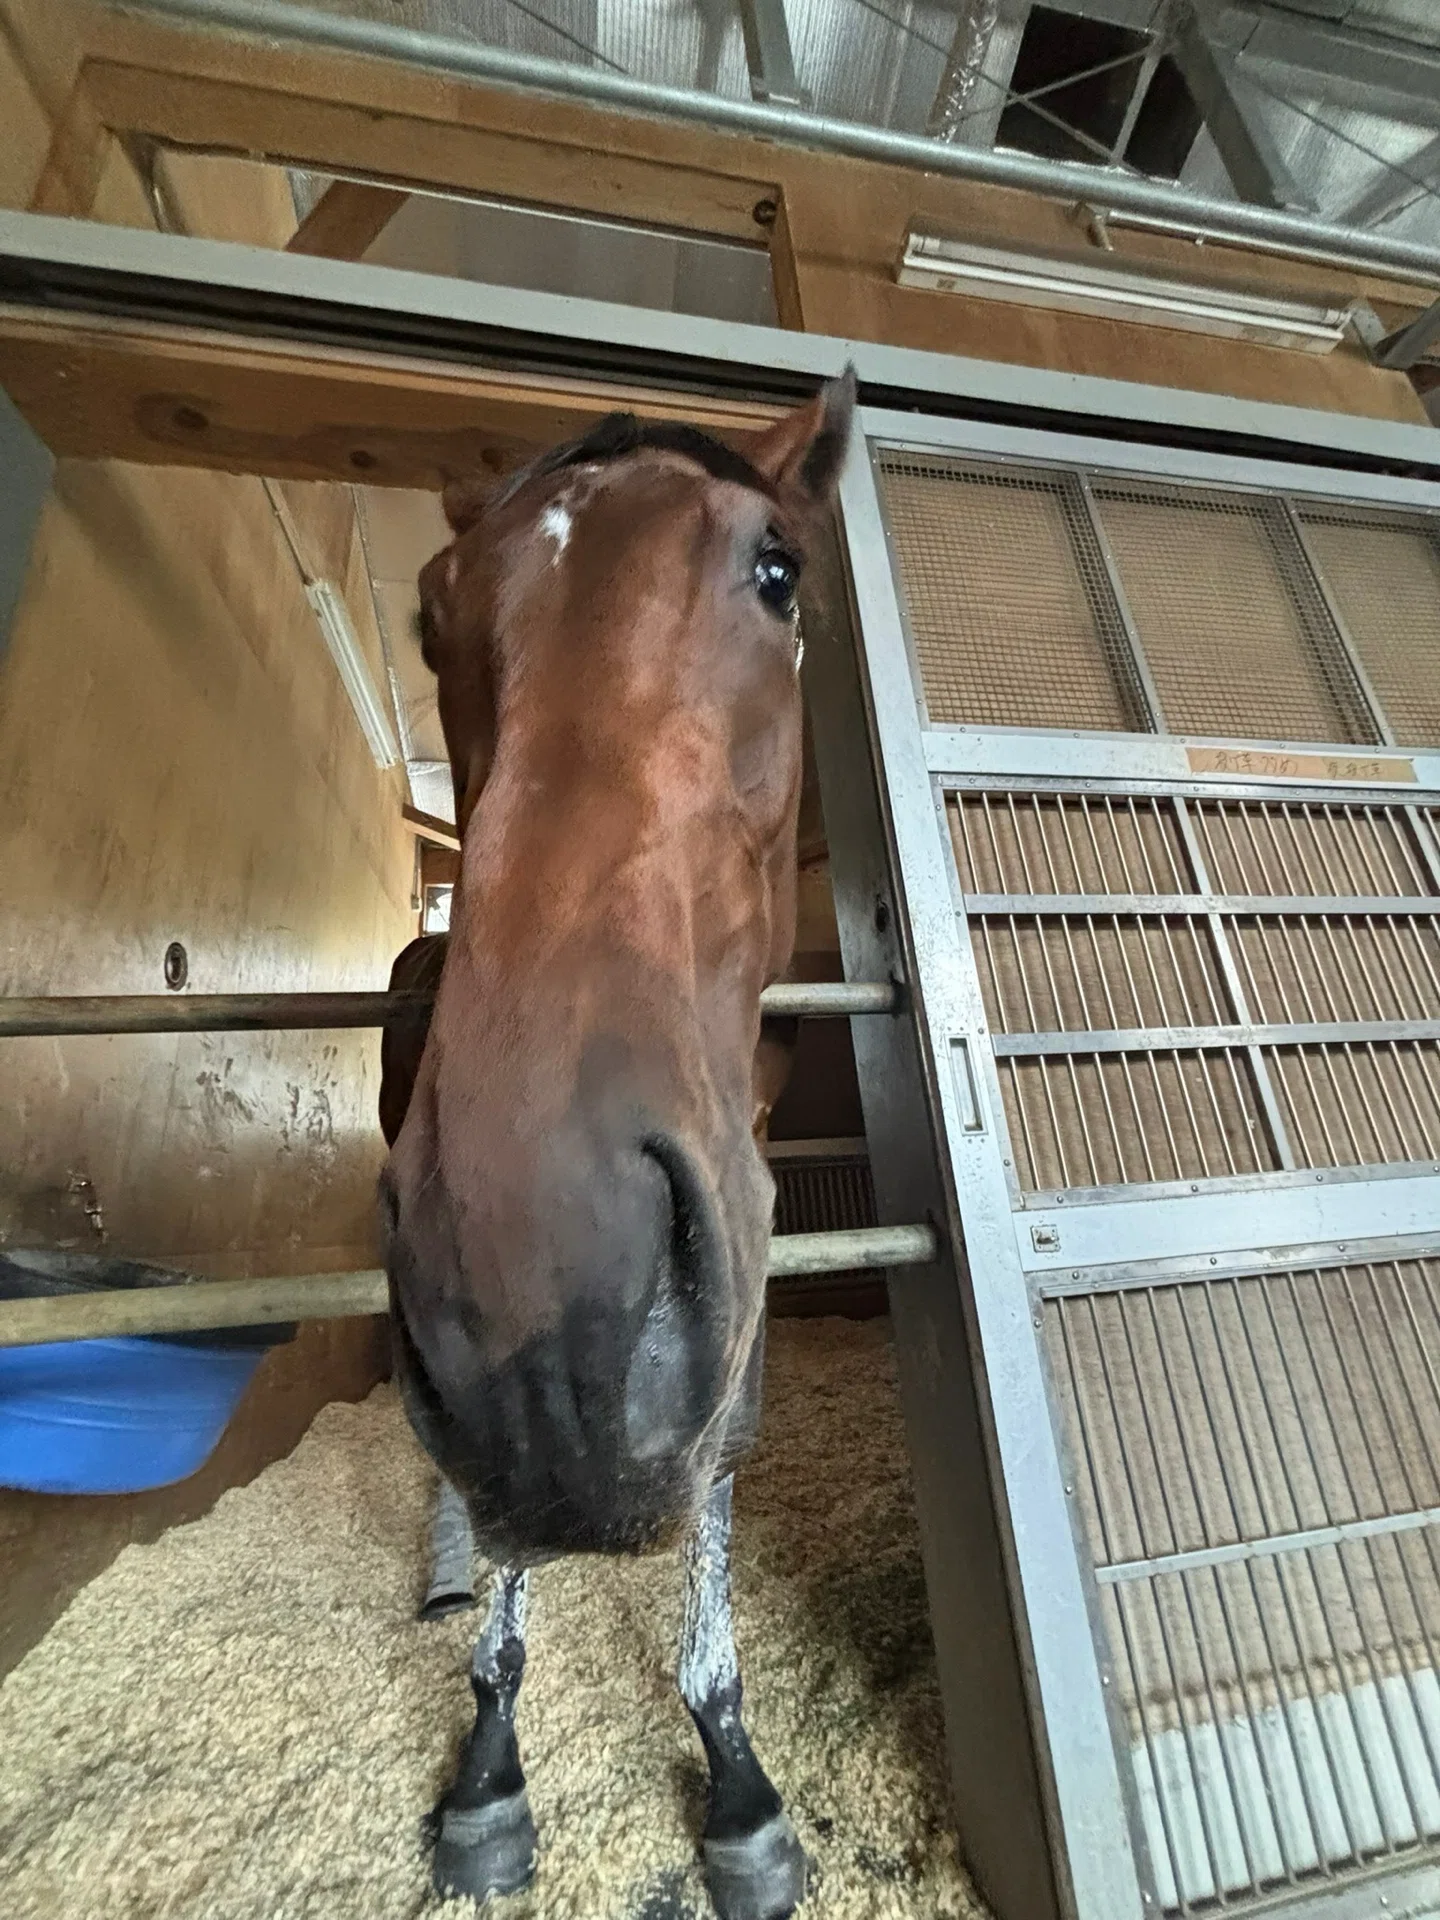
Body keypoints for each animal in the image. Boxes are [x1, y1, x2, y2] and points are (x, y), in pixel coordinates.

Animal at [378, 371, 855, 1920]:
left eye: (779, 570)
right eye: (433, 617)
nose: (544, 1271)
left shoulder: (734, 1230)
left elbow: (716, 1464)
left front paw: (738, 1778)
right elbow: (521, 1533)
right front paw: (486, 1768)